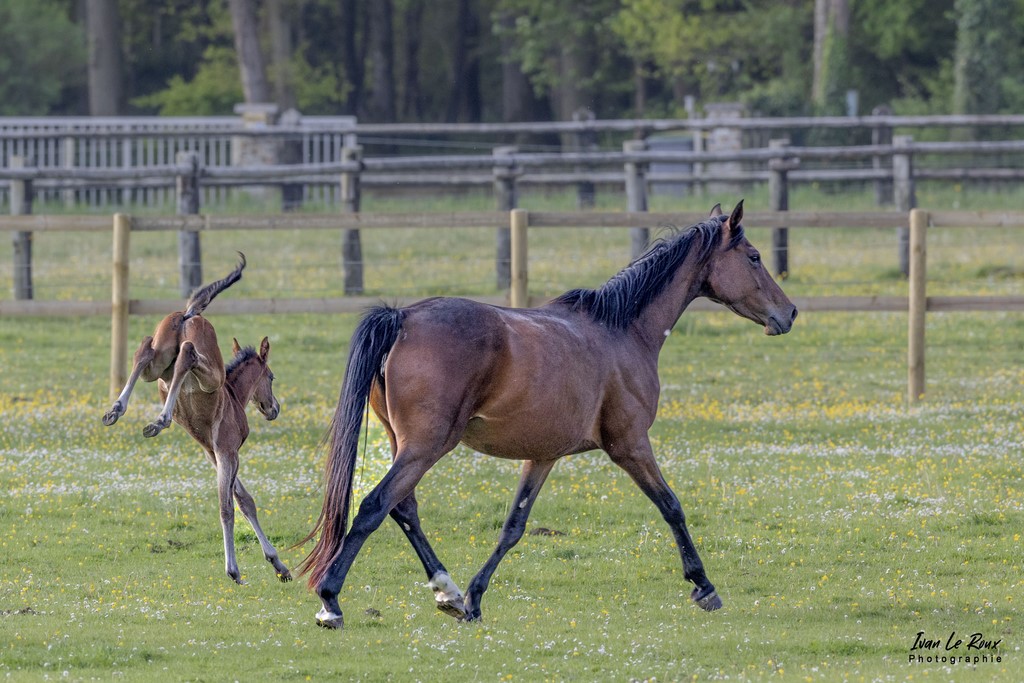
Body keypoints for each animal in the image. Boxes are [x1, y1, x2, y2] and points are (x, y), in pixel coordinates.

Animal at [102, 253, 292, 585]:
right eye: (271, 376)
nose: (274, 408)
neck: (233, 396)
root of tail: (190, 314)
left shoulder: (213, 454)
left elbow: (244, 501)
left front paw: (279, 565)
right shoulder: (228, 451)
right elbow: (230, 506)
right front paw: (236, 569)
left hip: (159, 359)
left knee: (145, 349)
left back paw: (117, 410)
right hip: (208, 372)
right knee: (187, 355)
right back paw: (159, 420)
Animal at [299, 201, 794, 630]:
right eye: (753, 257)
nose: (788, 312)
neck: (623, 331)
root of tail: (401, 318)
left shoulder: (543, 455)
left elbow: (513, 527)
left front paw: (475, 598)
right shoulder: (630, 445)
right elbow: (672, 506)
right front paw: (703, 585)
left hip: (404, 444)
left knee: (404, 509)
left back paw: (448, 592)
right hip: (425, 446)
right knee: (375, 505)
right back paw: (331, 600)